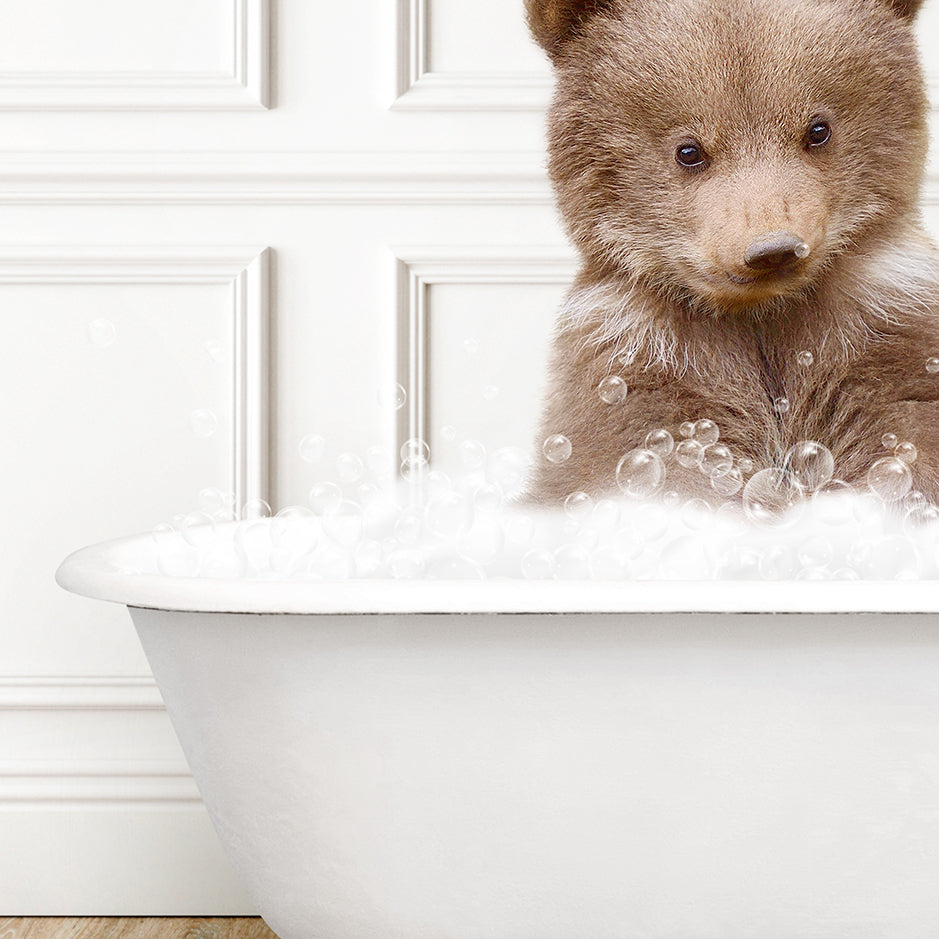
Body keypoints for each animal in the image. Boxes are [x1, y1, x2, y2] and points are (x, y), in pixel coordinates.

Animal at [524, 0, 939, 506]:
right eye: (689, 151)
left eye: (818, 129)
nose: (773, 249)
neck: (759, 315)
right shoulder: (640, 366)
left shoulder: (885, 334)